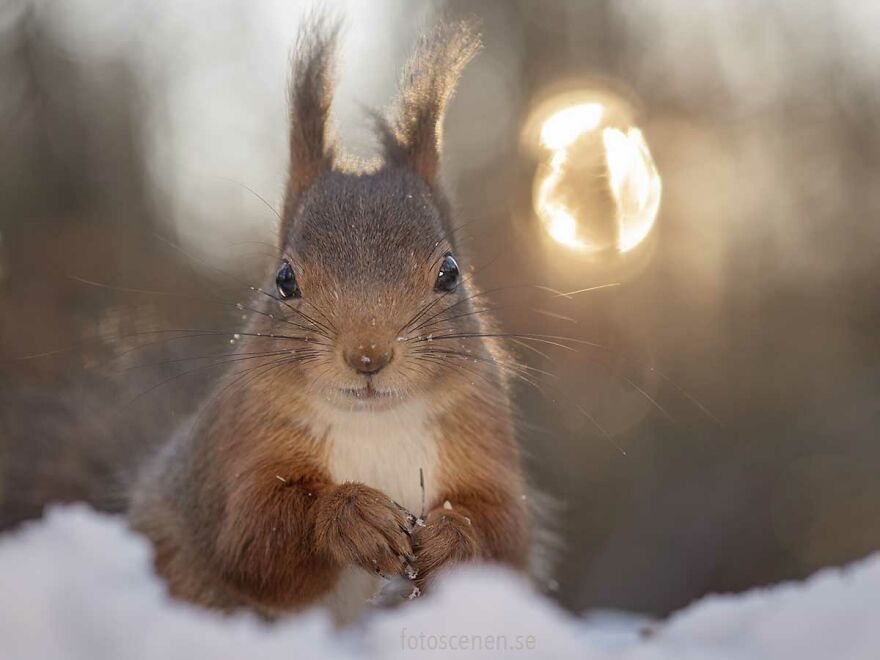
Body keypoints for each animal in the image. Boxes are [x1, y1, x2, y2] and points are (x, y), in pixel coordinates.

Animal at [127, 18, 533, 623]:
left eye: (450, 273)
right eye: (284, 278)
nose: (368, 355)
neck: (374, 422)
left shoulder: (484, 434)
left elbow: (506, 536)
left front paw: (450, 537)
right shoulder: (241, 443)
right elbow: (252, 541)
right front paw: (352, 515)